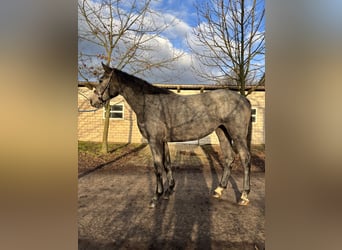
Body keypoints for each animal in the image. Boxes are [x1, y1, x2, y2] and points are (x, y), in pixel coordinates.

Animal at [89, 63, 252, 207]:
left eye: (101, 80)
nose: (92, 101)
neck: (149, 104)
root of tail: (244, 99)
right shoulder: (163, 141)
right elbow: (167, 164)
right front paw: (168, 191)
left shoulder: (154, 140)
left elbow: (158, 166)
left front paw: (156, 196)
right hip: (222, 131)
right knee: (229, 158)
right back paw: (219, 190)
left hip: (237, 134)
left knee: (245, 158)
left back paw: (244, 196)